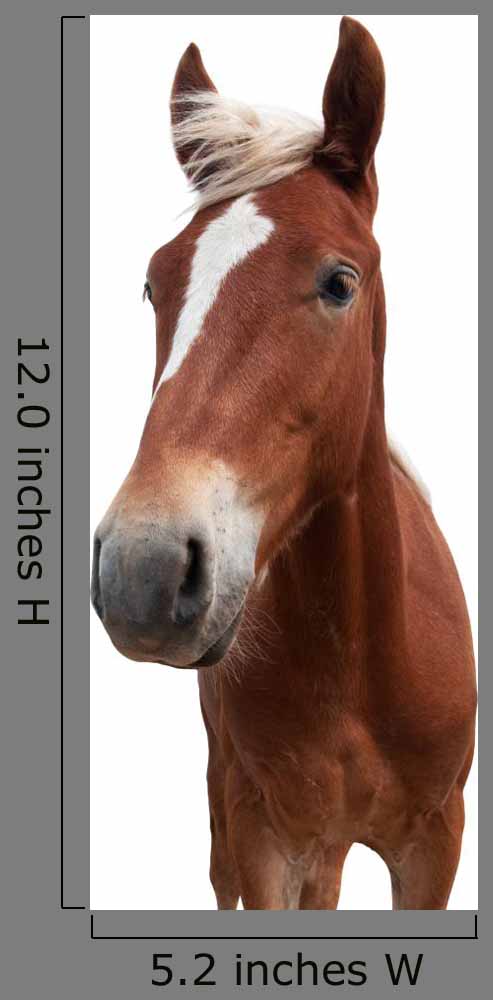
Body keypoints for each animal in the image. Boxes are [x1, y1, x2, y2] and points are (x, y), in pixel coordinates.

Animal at [91, 16, 476, 909]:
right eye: (154, 286)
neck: (361, 661)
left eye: (339, 282)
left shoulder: (434, 843)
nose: (143, 569)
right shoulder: (268, 840)